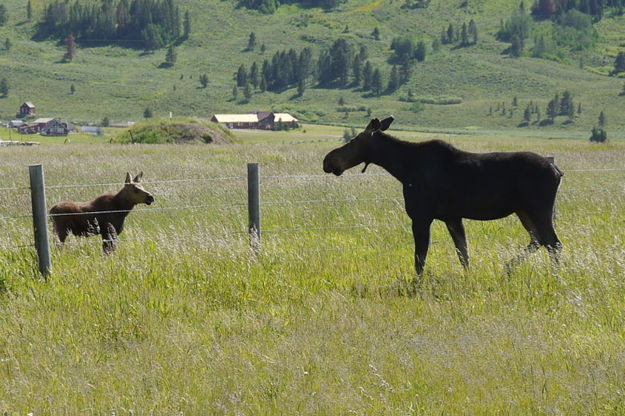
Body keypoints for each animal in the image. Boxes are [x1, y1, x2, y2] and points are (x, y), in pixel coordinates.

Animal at [324, 115, 564, 274]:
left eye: (353, 141)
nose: (328, 160)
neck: (402, 168)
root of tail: (557, 171)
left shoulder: (421, 216)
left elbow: (420, 259)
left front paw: (416, 288)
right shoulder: (452, 217)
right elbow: (463, 255)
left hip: (538, 208)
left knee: (553, 243)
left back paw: (554, 276)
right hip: (523, 210)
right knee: (539, 239)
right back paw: (508, 268)